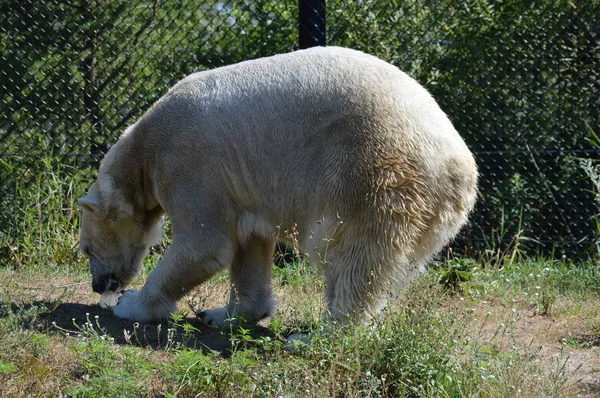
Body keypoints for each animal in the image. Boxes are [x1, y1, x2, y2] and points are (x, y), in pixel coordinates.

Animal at [77, 46, 478, 328]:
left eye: (85, 248)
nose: (98, 285)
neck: (144, 146)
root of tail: (461, 165)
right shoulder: (241, 188)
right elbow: (248, 243)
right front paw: (222, 313)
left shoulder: (189, 161)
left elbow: (203, 245)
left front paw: (131, 304)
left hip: (374, 171)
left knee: (356, 254)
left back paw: (322, 333)